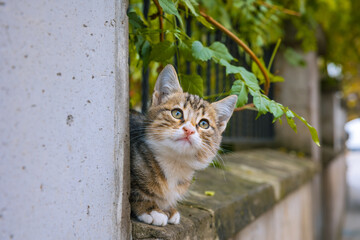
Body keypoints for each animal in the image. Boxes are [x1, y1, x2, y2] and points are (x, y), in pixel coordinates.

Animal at [129, 64, 236, 226]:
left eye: (204, 124)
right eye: (177, 113)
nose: (189, 130)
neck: (174, 163)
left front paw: (168, 208)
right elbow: (134, 190)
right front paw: (151, 209)